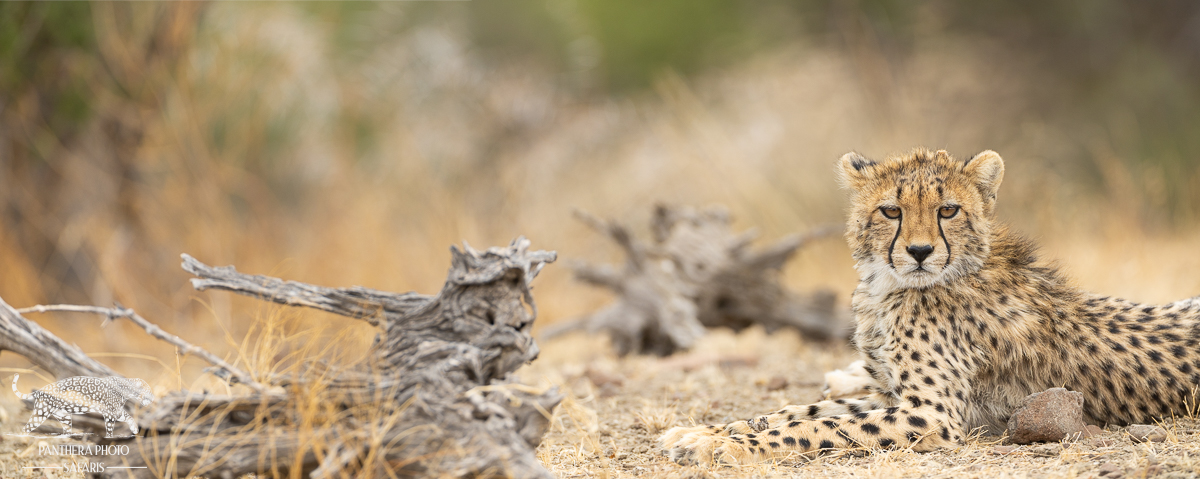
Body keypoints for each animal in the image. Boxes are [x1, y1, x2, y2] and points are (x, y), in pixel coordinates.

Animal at [12, 373, 154, 438]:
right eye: (148, 393)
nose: (152, 401)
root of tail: (40, 390)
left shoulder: (115, 411)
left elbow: (128, 416)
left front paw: (134, 429)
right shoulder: (110, 412)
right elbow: (110, 428)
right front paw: (109, 438)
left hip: (64, 417)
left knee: (66, 432)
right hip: (41, 413)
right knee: (26, 428)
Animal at [660, 148, 1200, 465]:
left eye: (948, 210)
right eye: (891, 210)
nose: (919, 251)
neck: (889, 287)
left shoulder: (932, 414)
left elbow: (818, 426)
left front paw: (719, 444)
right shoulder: (891, 394)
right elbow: (796, 410)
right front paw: (700, 430)